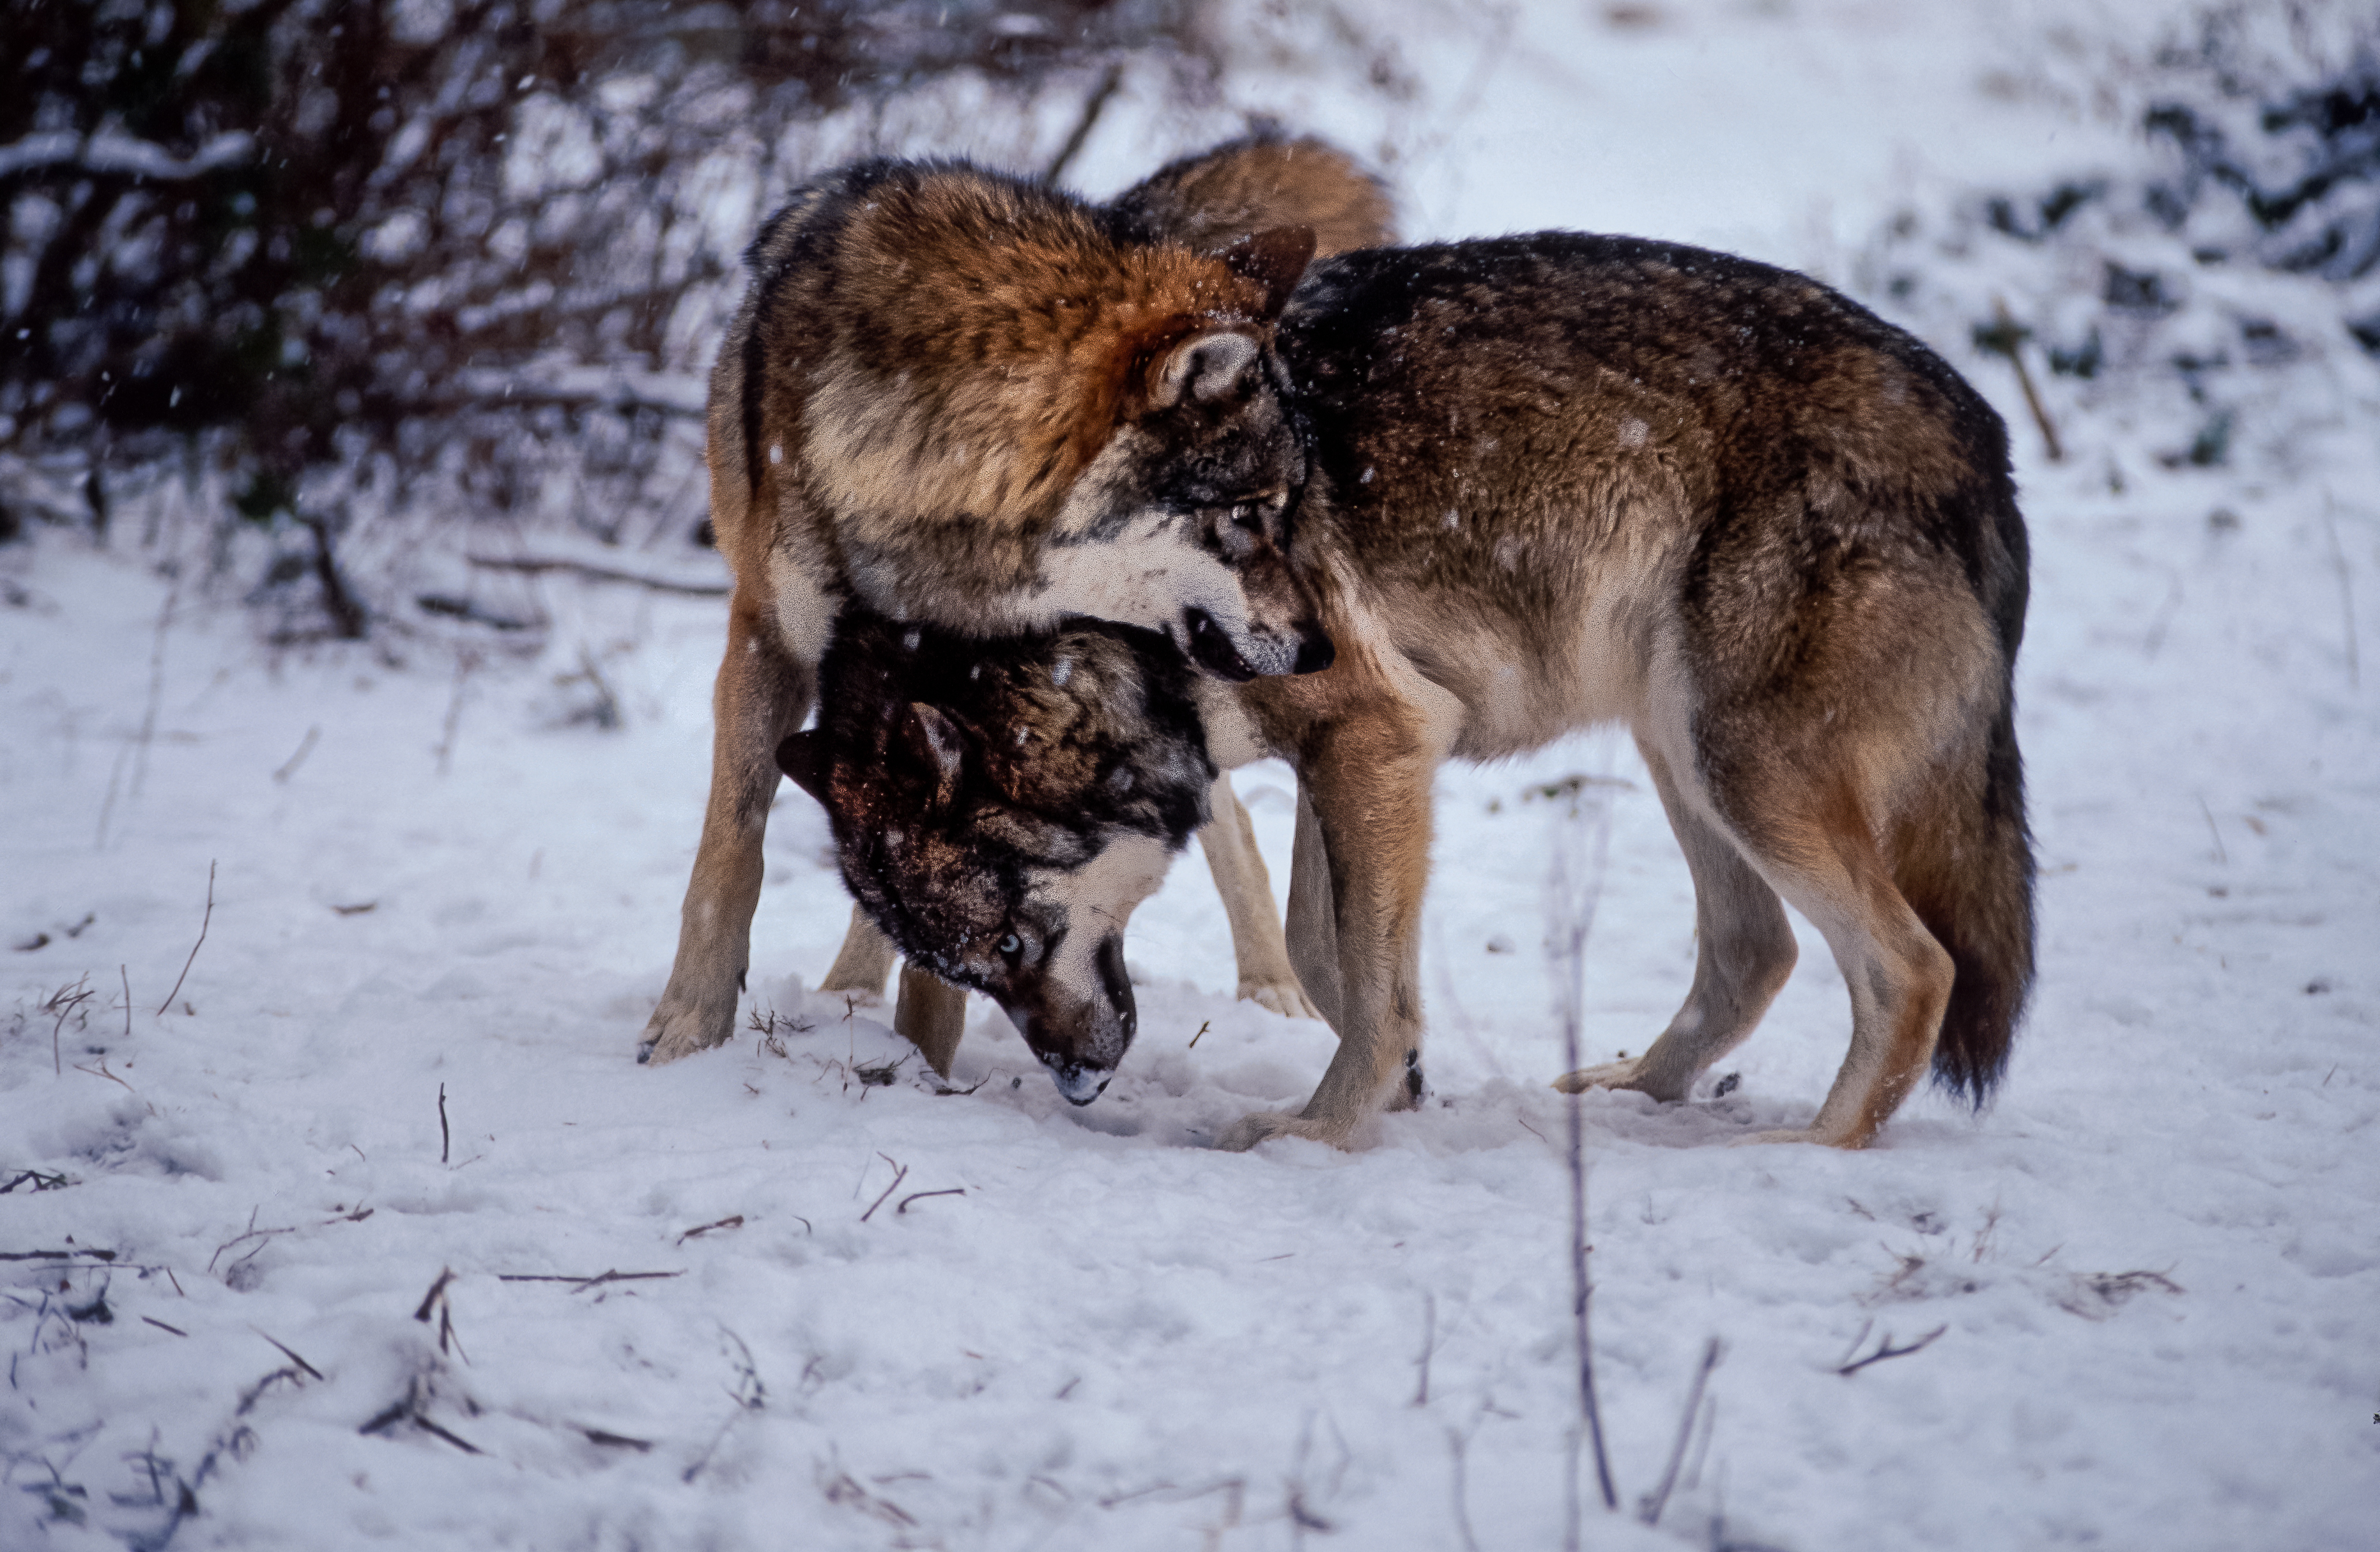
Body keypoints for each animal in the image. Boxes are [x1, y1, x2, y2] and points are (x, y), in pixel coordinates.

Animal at [642, 136, 1399, 1066]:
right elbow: (731, 850)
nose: (1318, 647)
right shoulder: (767, 637)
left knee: (1228, 819)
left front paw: (923, 1063)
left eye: (1290, 510)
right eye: (1245, 514)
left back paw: (1274, 989)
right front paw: (685, 1031)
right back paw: (847, 988)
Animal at [771, 233, 2037, 1152]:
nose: (1079, 1082)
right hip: (1683, 750)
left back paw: (1811, 1149)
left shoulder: (1375, 737)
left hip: (1740, 766)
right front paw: (1406, 1084)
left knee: (1915, 966)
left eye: (1019, 940)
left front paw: (1319, 1133)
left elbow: (1362, 981)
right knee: (1754, 949)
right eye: (973, 970)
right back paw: (1634, 1090)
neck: (1112, 622)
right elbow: (1326, 948)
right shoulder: (1353, 754)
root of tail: (1984, 432)